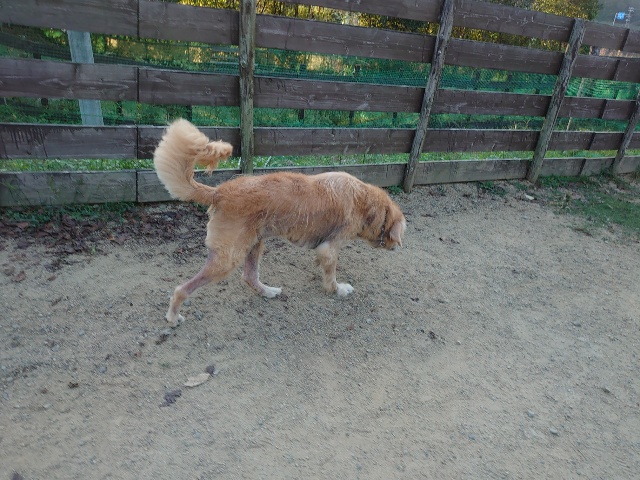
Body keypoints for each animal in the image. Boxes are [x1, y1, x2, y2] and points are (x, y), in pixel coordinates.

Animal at [154, 119, 406, 327]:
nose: (397, 247)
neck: (365, 201)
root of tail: (219, 192)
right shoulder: (330, 247)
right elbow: (332, 276)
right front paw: (338, 290)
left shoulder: (323, 248)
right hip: (227, 257)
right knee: (181, 289)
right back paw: (173, 317)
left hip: (255, 243)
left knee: (249, 276)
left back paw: (267, 292)